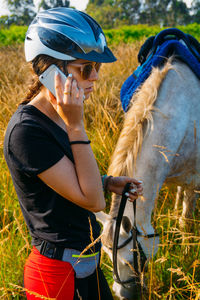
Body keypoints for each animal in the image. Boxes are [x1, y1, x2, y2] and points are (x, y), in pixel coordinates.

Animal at [96, 29, 199, 298]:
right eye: (107, 257)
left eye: (131, 260)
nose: (121, 295)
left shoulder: (195, 181)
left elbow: (186, 223)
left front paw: (187, 255)